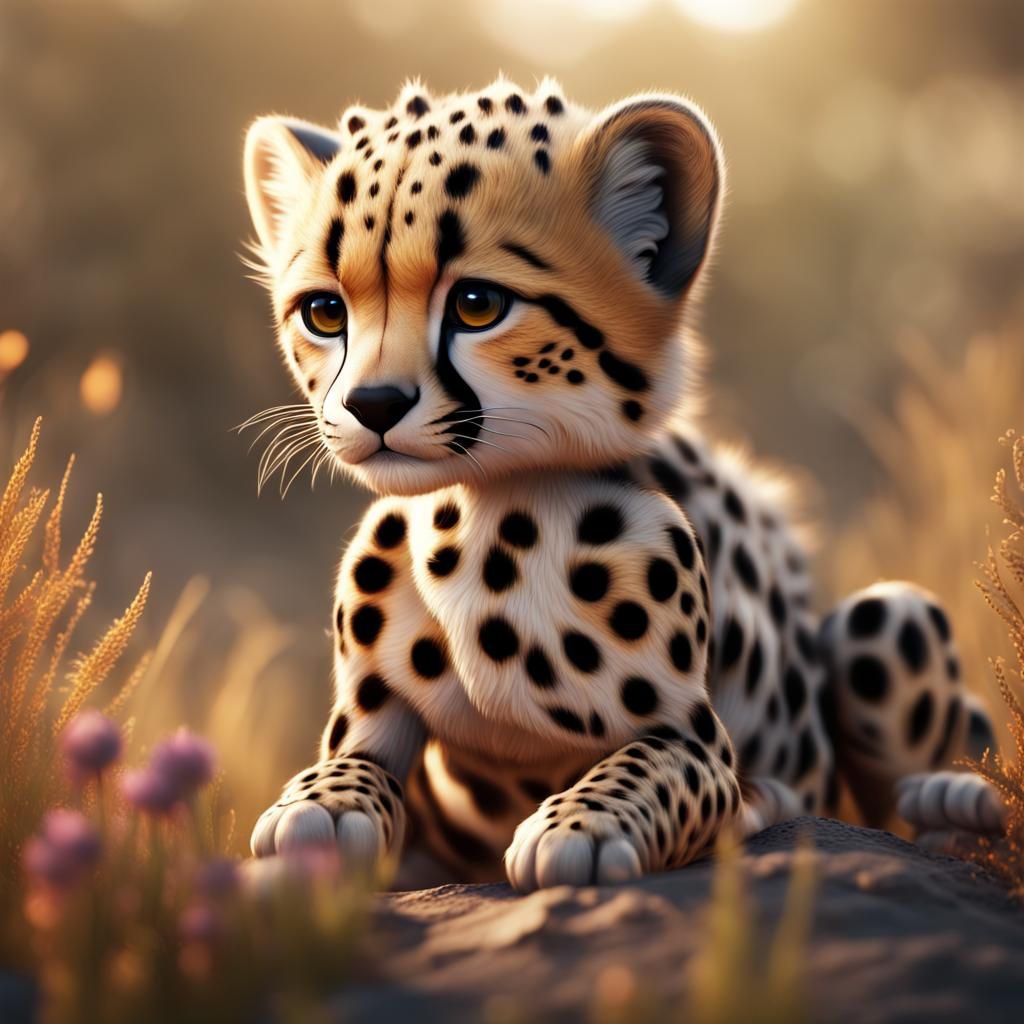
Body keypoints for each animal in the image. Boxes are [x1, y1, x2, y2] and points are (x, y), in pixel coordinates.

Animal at [242, 78, 1007, 892]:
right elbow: (350, 766)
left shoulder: (696, 743)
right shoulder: (370, 723)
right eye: (325, 312)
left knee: (893, 802)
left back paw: (947, 799)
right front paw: (320, 807)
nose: (375, 405)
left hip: (886, 616)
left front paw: (581, 825)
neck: (489, 517)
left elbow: (639, 766)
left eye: (477, 305)